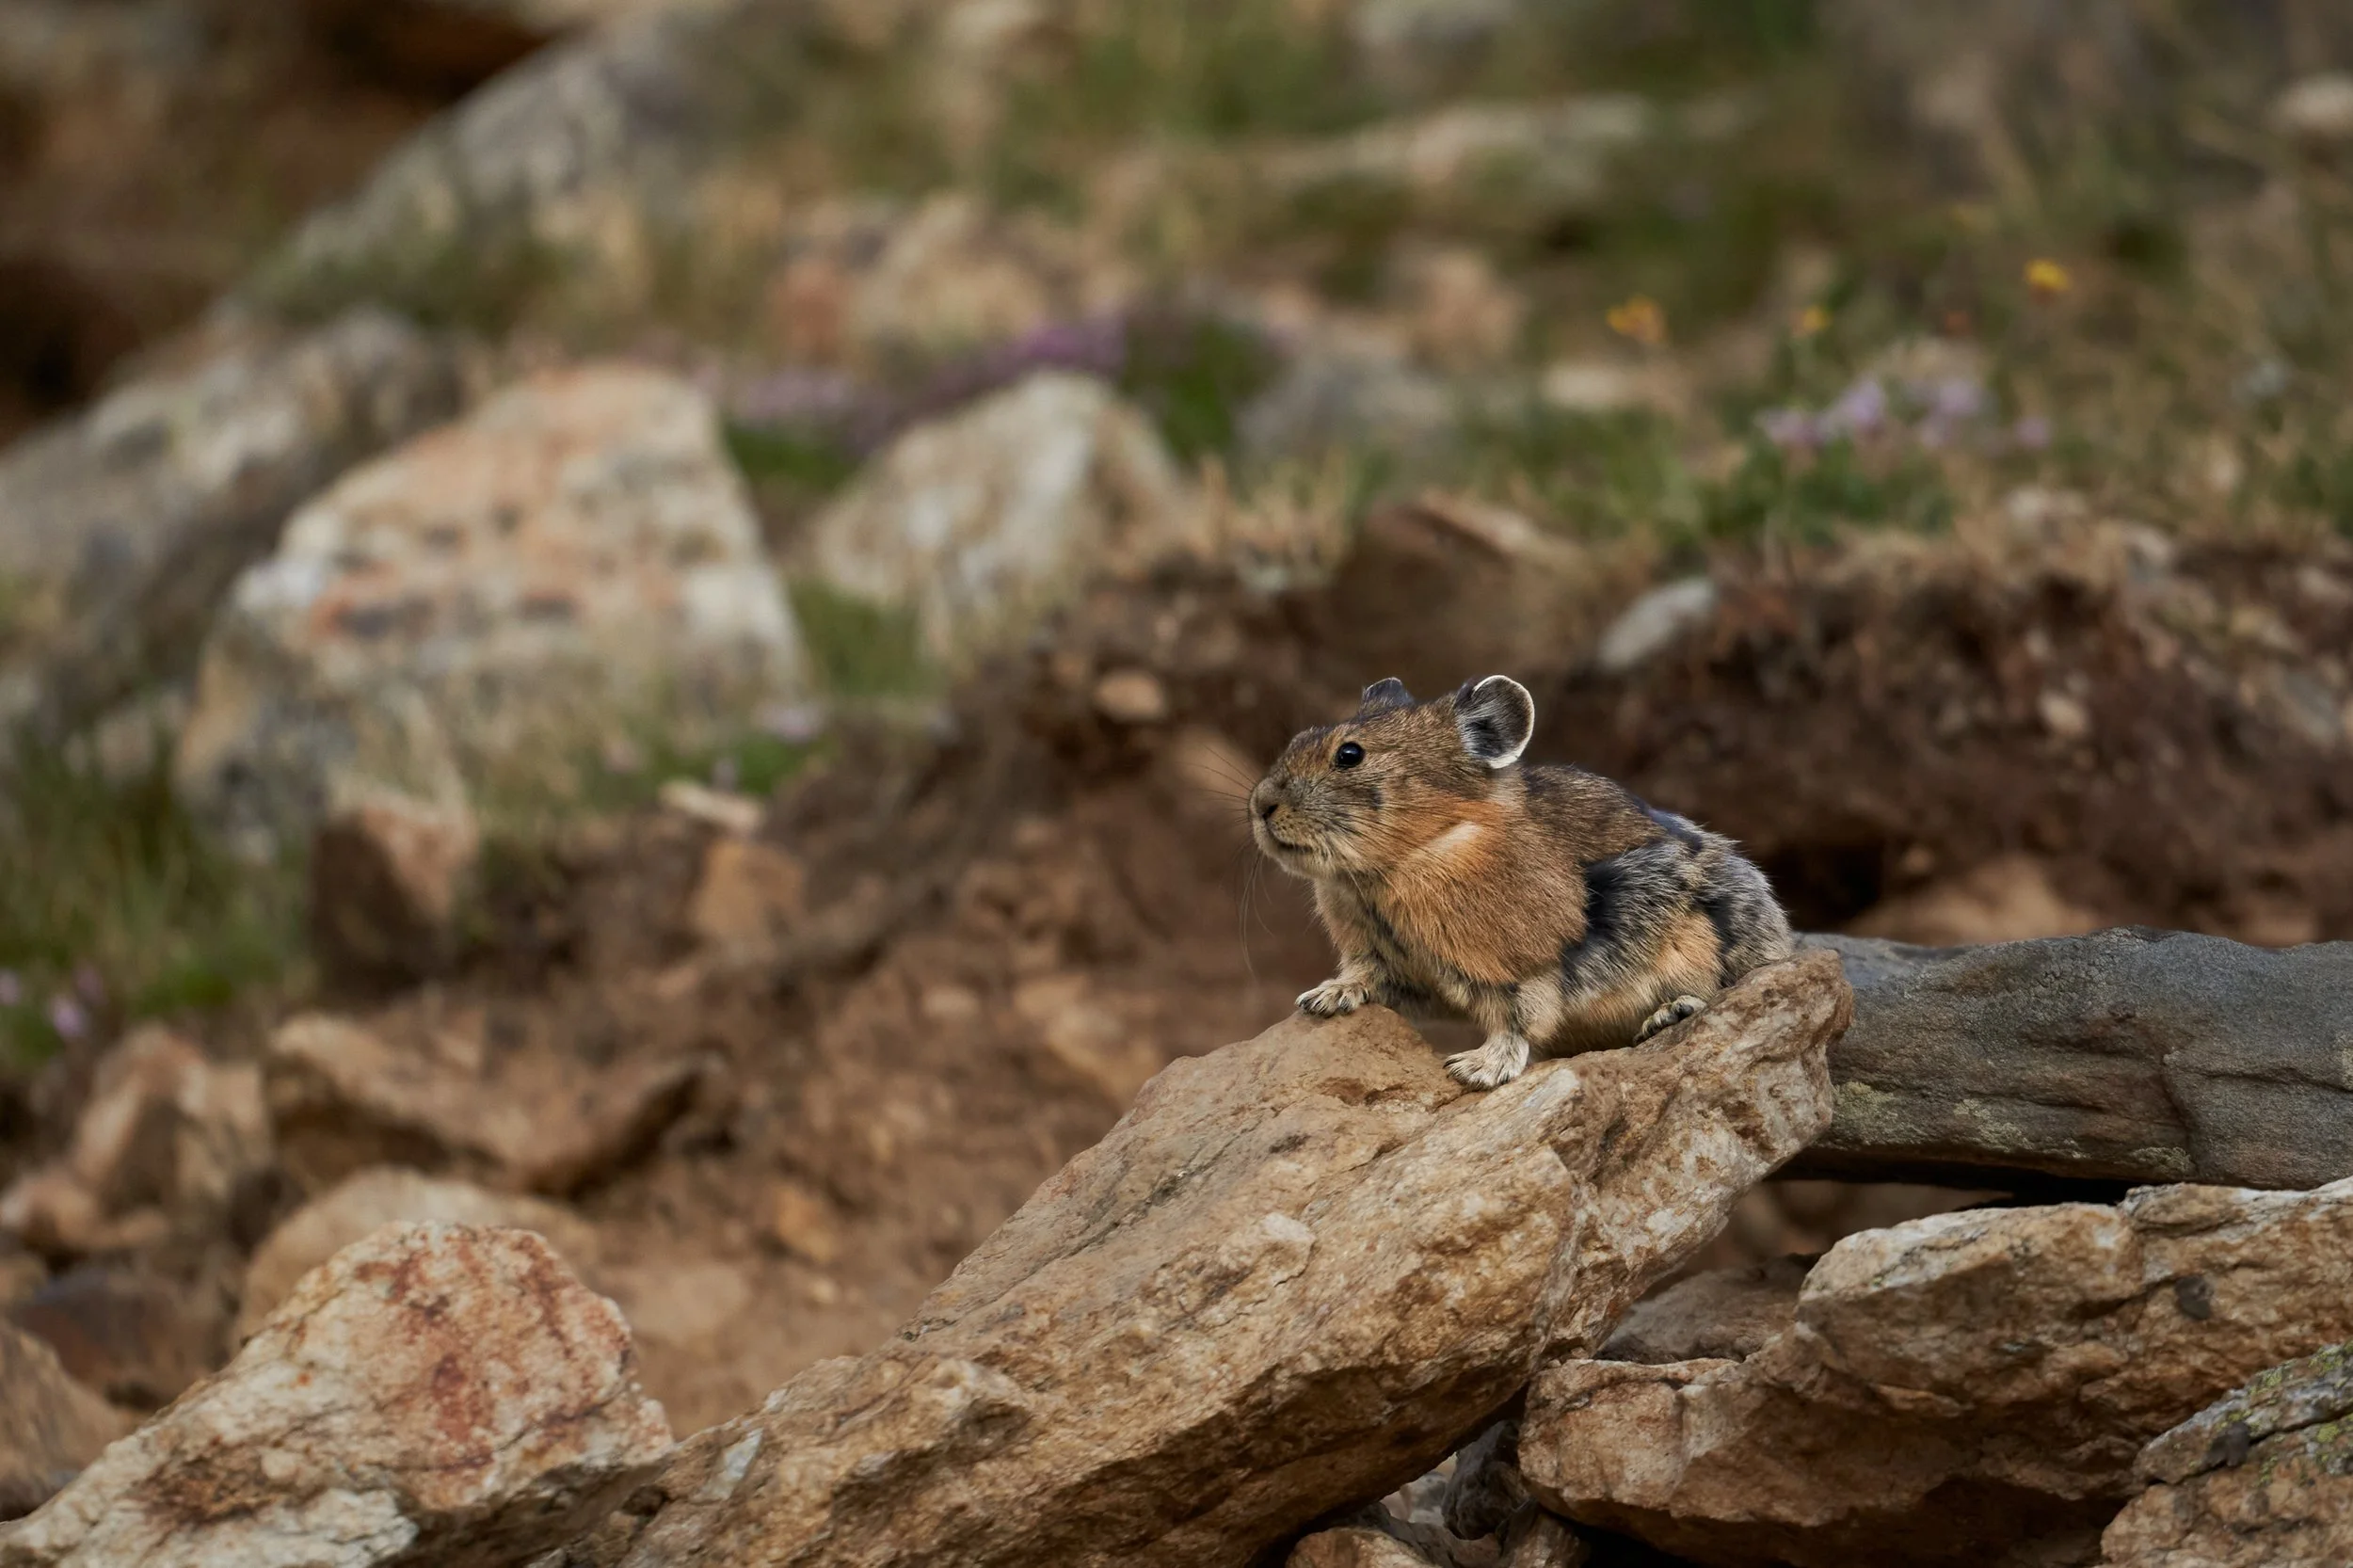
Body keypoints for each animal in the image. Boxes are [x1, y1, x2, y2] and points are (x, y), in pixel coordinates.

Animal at [1249, 674, 1795, 1088]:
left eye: (1350, 754)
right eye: (1298, 739)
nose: (1261, 805)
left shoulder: (1522, 970)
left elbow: (1516, 1020)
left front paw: (1475, 1069)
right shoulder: (1388, 960)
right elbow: (1365, 976)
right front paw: (1324, 997)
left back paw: (1671, 1011)